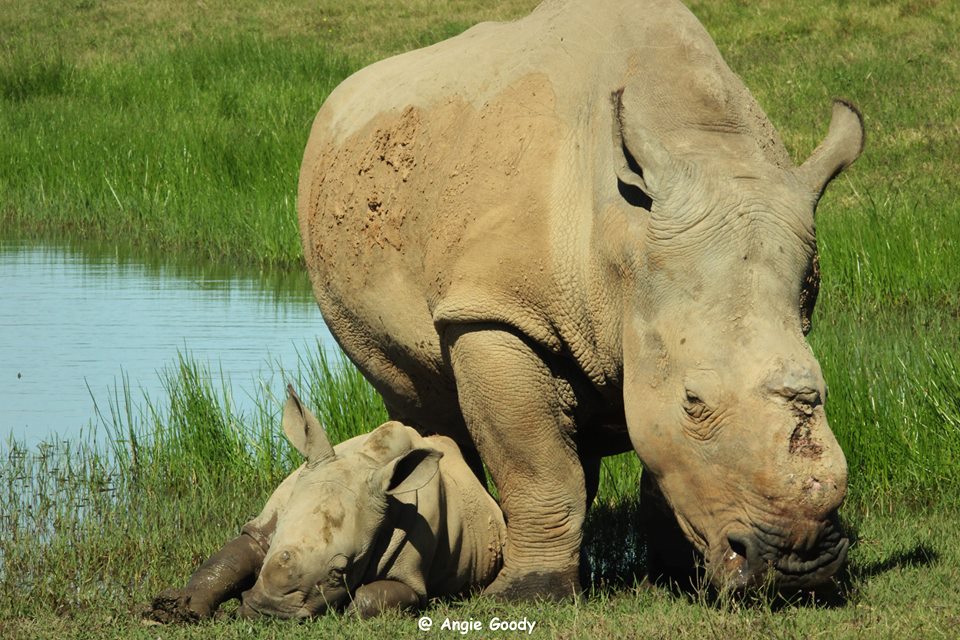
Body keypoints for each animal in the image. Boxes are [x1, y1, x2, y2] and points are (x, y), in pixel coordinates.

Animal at [146, 384, 506, 620]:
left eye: (340, 572)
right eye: (275, 543)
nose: (265, 613)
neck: (367, 461)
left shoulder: (412, 571)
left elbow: (376, 595)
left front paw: (345, 610)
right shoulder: (267, 520)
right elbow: (227, 560)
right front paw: (180, 609)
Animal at [294, 0, 864, 600]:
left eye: (823, 388)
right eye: (694, 400)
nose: (799, 565)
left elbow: (660, 454)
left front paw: (678, 575)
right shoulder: (495, 310)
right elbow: (538, 465)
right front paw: (530, 592)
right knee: (414, 395)